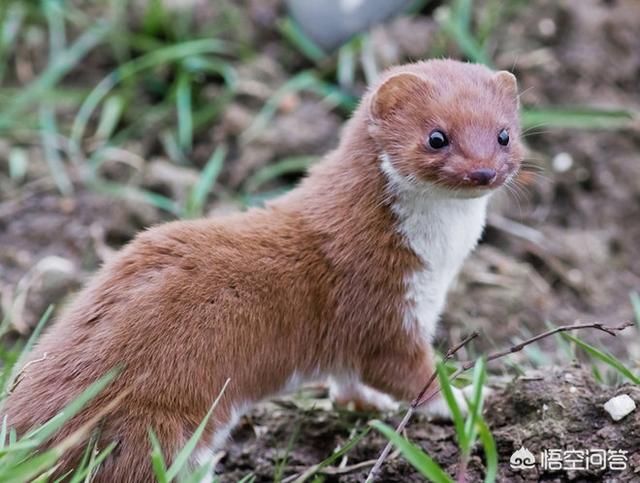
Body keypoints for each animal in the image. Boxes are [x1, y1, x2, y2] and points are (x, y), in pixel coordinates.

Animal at [3, 59, 524, 480]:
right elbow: (405, 371)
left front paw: (364, 403)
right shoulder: (380, 302)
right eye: (437, 137)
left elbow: (350, 378)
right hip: (151, 429)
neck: (440, 264)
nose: (484, 171)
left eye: (505, 134)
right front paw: (466, 401)